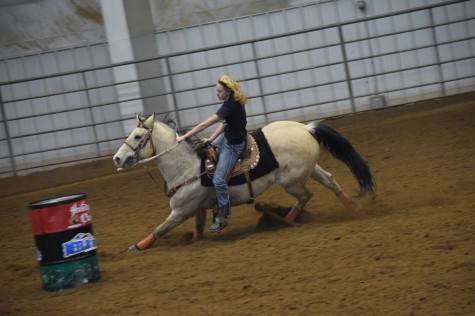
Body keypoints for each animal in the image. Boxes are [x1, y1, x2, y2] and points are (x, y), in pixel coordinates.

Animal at [112, 113, 376, 252]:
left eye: (137, 136)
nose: (117, 158)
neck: (188, 166)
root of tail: (307, 129)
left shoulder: (181, 211)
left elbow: (160, 229)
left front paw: (137, 246)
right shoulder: (198, 209)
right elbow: (198, 229)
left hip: (292, 182)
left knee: (305, 196)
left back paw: (283, 220)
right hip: (309, 170)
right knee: (330, 182)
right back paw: (352, 207)